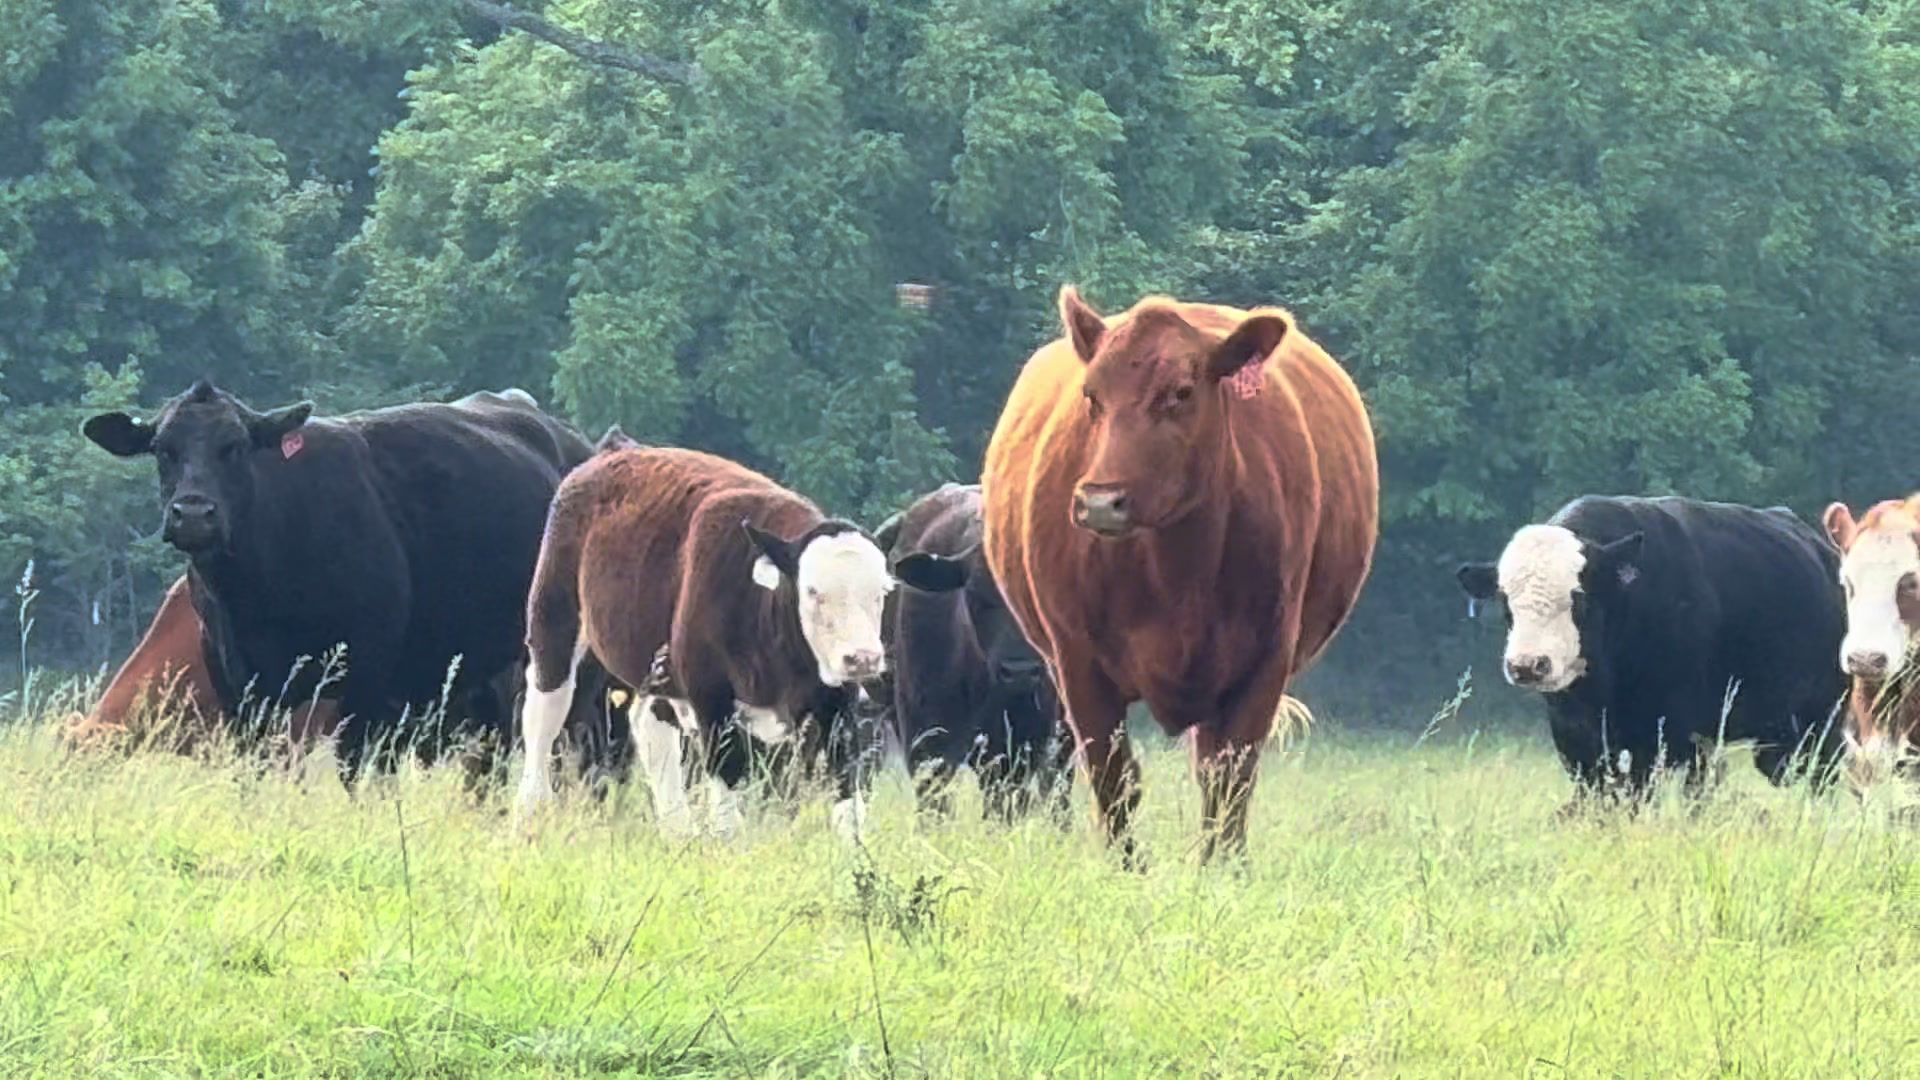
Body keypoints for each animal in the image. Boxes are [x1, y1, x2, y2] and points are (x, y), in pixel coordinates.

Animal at [82, 378, 602, 788]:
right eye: (162, 449)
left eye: (236, 447)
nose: (192, 514)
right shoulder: (239, 682)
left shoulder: (367, 677)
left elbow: (358, 770)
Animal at [514, 446, 894, 841]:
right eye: (813, 591)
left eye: (882, 591)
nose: (863, 658)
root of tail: (614, 451)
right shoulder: (709, 698)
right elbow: (727, 783)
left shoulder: (836, 705)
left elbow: (847, 791)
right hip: (553, 625)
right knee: (543, 717)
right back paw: (529, 812)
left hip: (658, 668)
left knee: (650, 728)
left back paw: (678, 830)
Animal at [980, 286, 1379, 865]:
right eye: (1092, 396)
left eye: (1181, 393)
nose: (1100, 501)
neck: (1177, 572)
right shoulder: (1077, 662)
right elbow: (1115, 778)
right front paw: (1125, 868)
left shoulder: (1265, 659)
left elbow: (1230, 781)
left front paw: (1222, 869)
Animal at [1457, 494, 1849, 805]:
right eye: (1506, 604)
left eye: (1578, 599)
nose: (1527, 664)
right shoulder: (1575, 738)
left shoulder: (1677, 734)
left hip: (1823, 719)